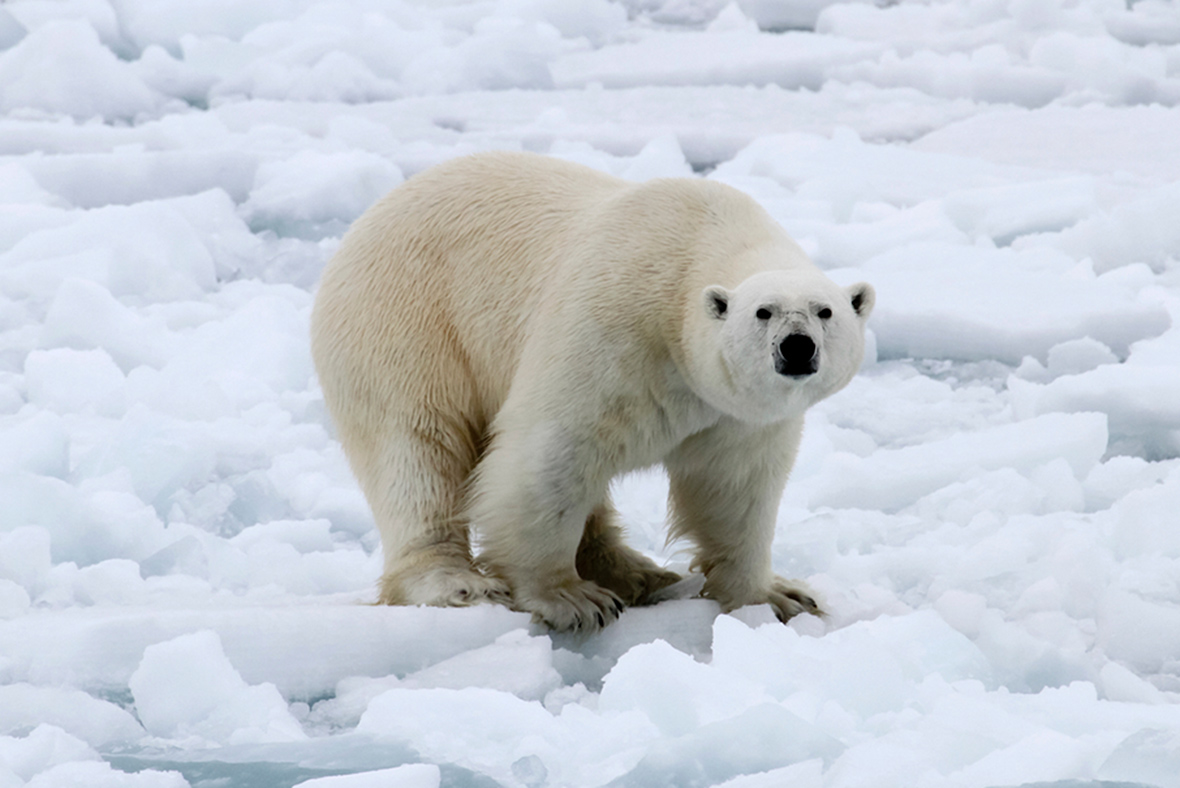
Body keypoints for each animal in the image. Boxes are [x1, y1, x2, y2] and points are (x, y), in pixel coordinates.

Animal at [309, 152, 873, 632]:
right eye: (763, 312)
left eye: (825, 311)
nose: (797, 347)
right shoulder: (613, 325)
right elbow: (550, 454)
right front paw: (569, 599)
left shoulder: (734, 412)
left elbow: (734, 488)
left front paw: (778, 596)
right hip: (406, 325)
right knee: (416, 448)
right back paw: (457, 582)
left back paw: (639, 572)